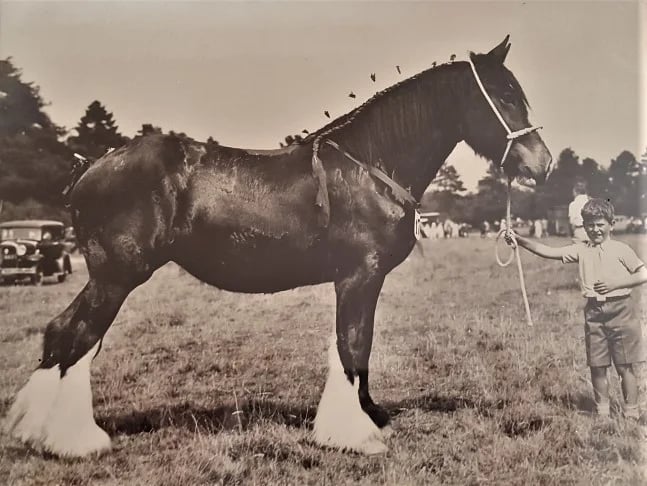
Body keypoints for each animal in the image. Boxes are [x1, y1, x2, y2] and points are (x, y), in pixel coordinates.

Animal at [4, 36, 552, 458]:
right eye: (503, 96)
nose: (541, 164)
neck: (369, 167)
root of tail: (90, 168)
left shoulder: (357, 280)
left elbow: (357, 346)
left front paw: (368, 415)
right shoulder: (360, 275)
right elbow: (353, 345)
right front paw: (354, 433)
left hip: (107, 277)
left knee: (62, 334)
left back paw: (36, 430)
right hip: (116, 276)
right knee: (75, 336)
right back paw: (74, 440)